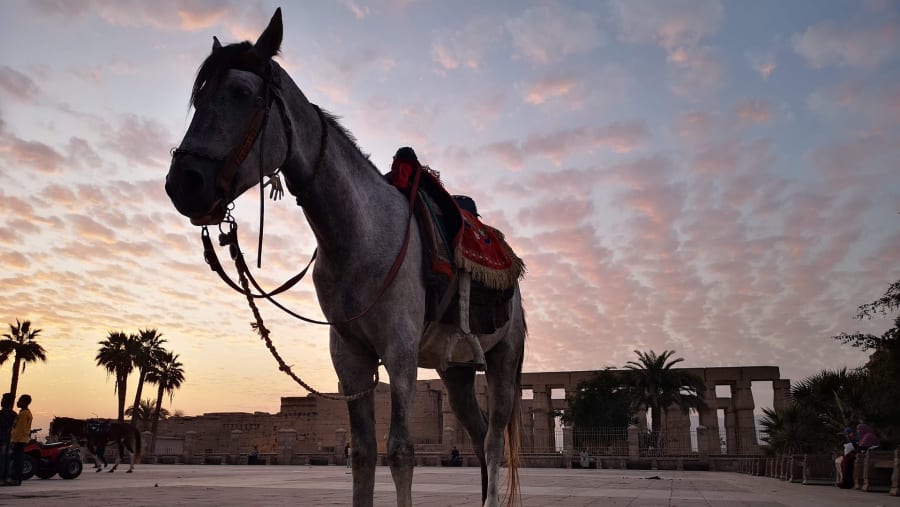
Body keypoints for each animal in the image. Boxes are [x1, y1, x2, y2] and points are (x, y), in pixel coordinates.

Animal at [165, 9, 526, 507]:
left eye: (241, 92)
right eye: (199, 97)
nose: (185, 182)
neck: (361, 236)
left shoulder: (399, 349)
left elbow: (400, 451)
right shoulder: (350, 356)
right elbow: (362, 453)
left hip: (505, 359)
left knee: (492, 439)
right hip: (454, 369)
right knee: (474, 433)